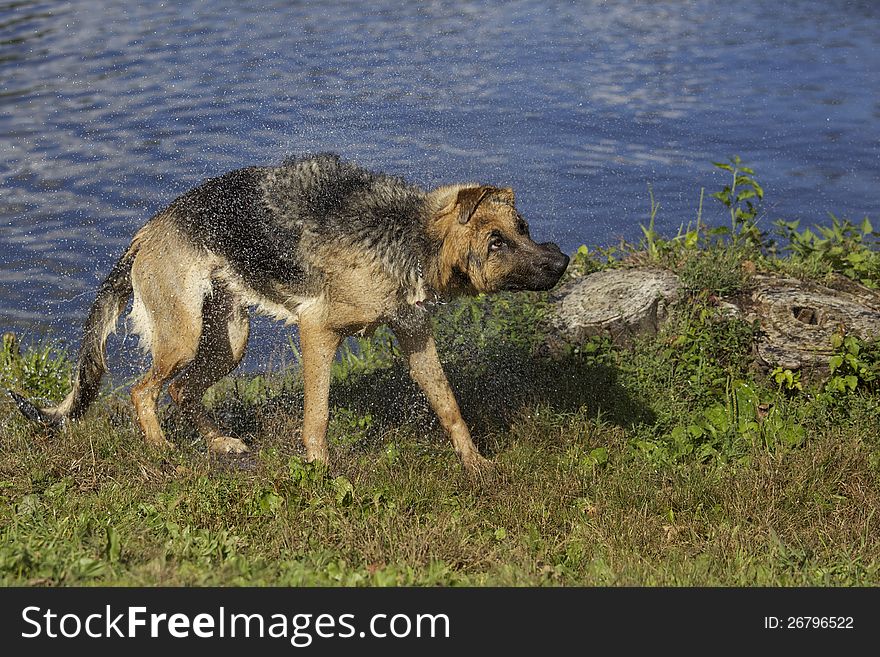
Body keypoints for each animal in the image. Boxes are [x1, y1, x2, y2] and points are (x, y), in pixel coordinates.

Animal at [8, 154, 572, 472]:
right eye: (496, 242)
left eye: (522, 228)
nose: (562, 262)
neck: (408, 236)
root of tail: (146, 231)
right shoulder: (317, 330)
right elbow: (316, 414)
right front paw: (320, 469)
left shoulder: (416, 337)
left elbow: (449, 406)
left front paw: (476, 465)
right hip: (183, 338)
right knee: (143, 391)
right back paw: (162, 449)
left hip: (229, 339)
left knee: (182, 391)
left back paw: (220, 444)